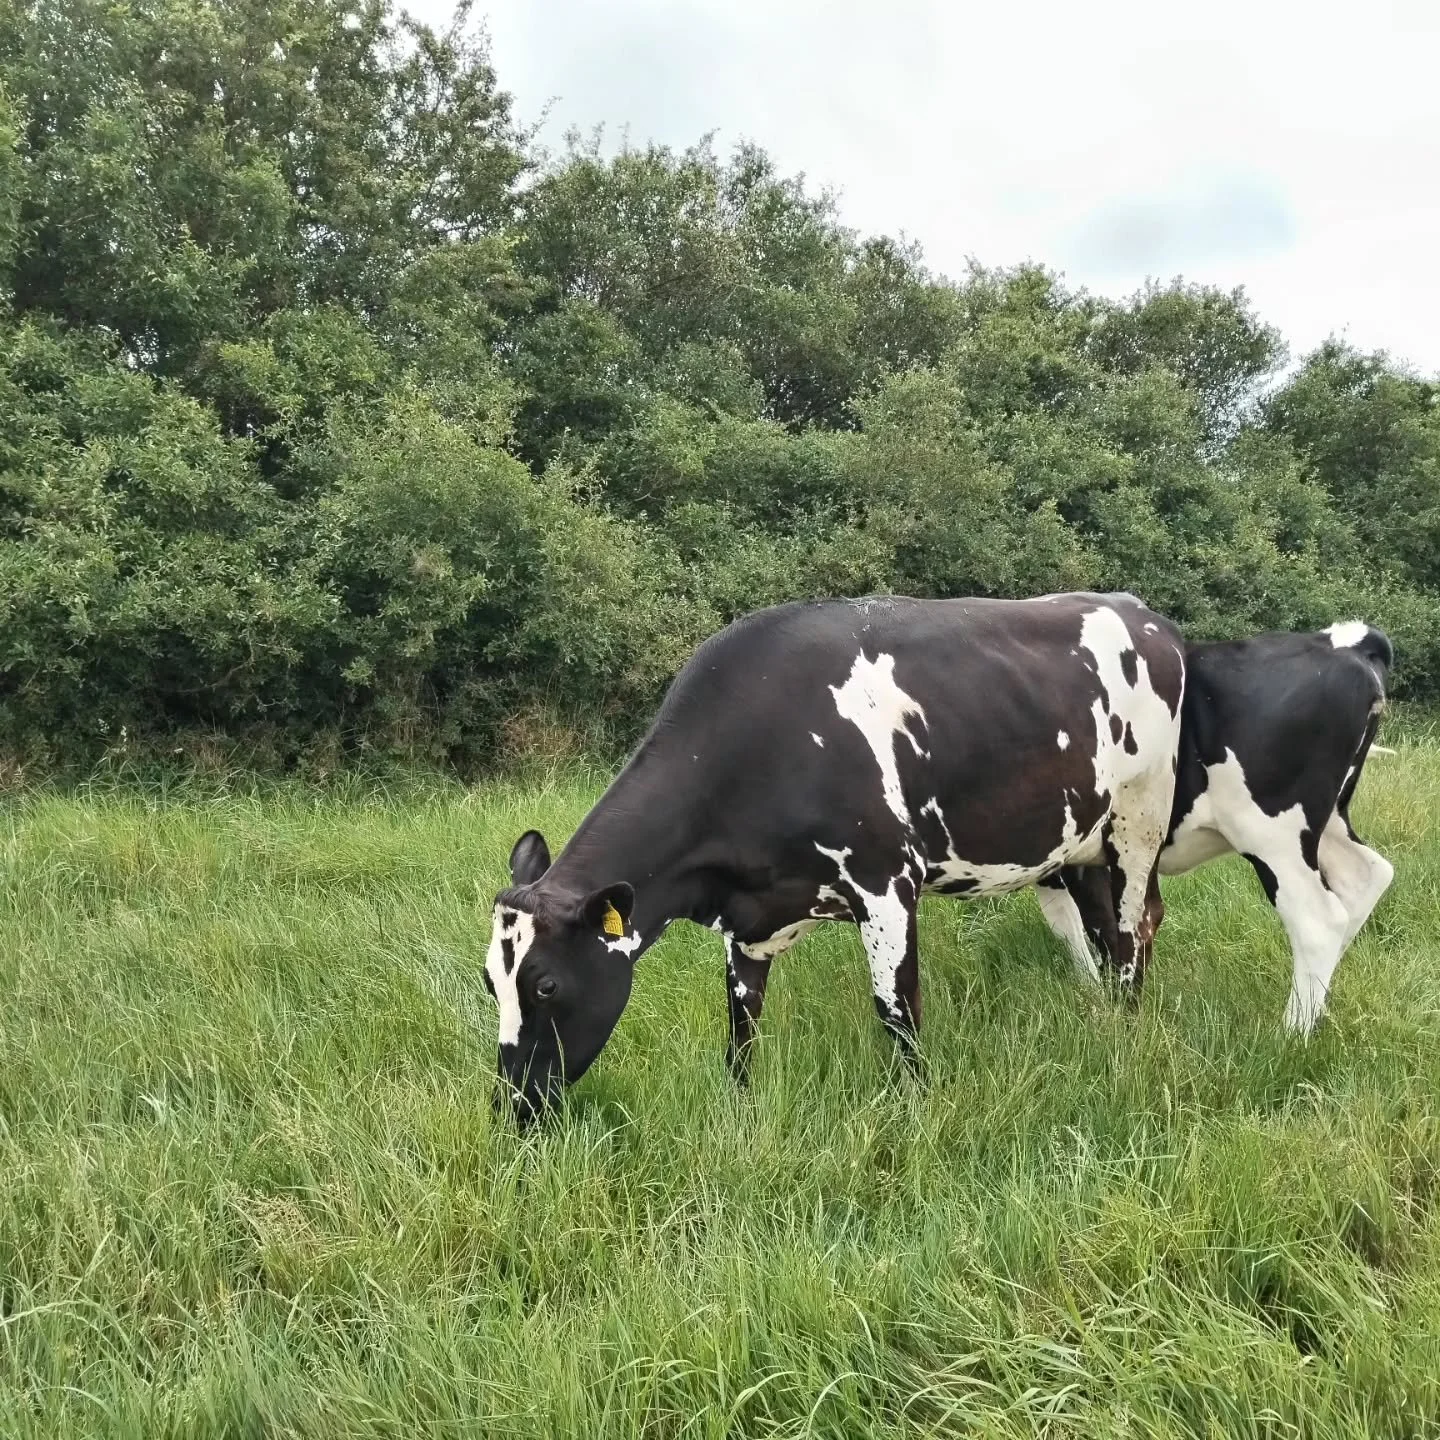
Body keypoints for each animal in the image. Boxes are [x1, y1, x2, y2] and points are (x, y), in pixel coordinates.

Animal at [483, 591, 1186, 1122]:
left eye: (545, 984)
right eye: (491, 981)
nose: (513, 1107)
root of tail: (1143, 613)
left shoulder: (887, 882)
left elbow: (897, 1012)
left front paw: (914, 1113)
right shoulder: (750, 917)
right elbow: (740, 1024)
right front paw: (739, 1111)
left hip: (1139, 820)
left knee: (1133, 929)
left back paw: (1125, 1039)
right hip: (1078, 844)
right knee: (1100, 930)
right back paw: (1100, 1021)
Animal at [1037, 622, 1394, 1033]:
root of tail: (1343, 641)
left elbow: (1094, 919)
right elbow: (1074, 919)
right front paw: (1092, 987)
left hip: (1273, 834)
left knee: (1318, 919)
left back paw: (1291, 1034)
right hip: (1329, 823)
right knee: (1367, 875)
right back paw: (1319, 1010)